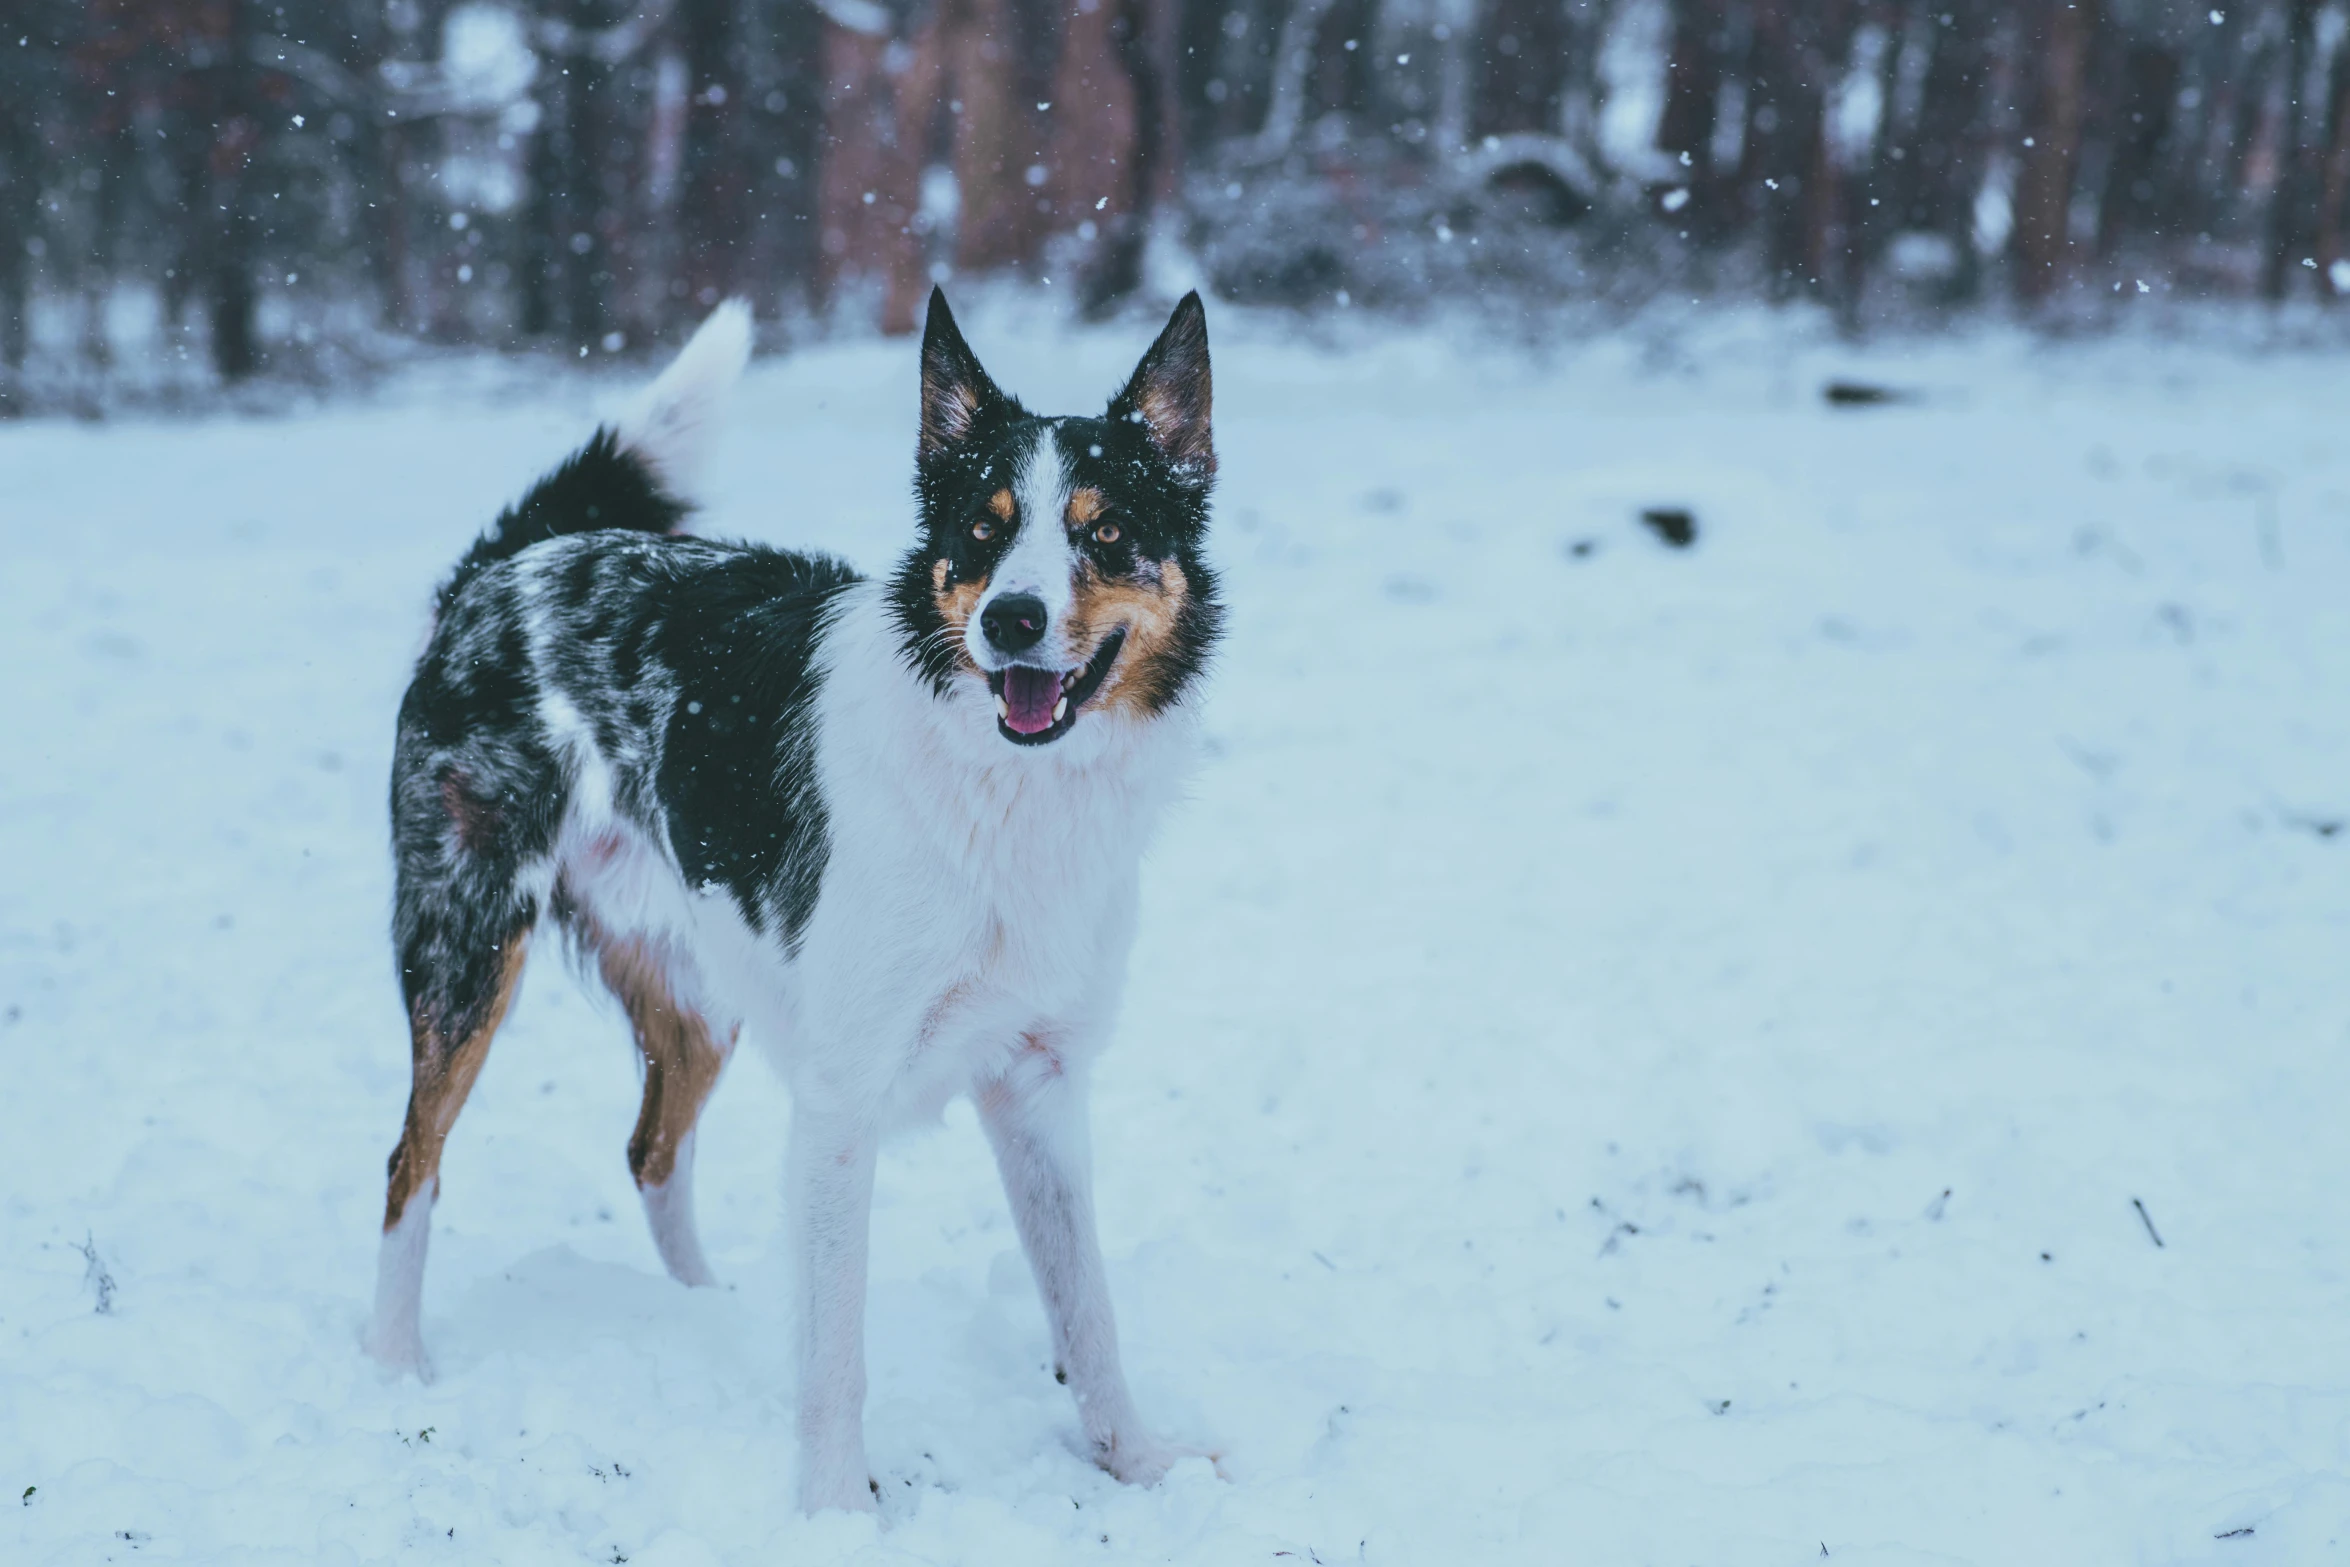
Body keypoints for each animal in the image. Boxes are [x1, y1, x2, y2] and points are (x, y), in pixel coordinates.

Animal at [361, 287, 1231, 1512]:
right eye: (982, 530)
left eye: (1105, 533)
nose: (1011, 619)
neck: (1000, 784)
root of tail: (510, 567)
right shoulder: (839, 1098)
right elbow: (835, 1354)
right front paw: (833, 1511)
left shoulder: (1042, 1083)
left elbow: (1089, 1314)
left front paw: (1139, 1465)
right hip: (469, 944)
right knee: (412, 1162)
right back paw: (395, 1369)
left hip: (703, 988)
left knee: (651, 1150)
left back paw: (701, 1314)